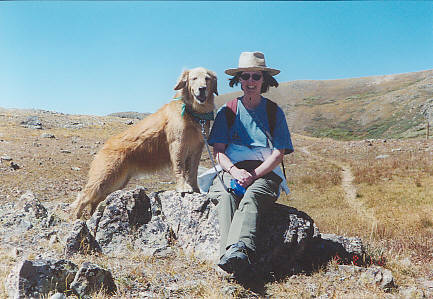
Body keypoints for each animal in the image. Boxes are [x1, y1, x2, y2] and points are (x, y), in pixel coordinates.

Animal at [72, 67, 218, 218]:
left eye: (207, 78)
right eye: (194, 78)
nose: (202, 89)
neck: (192, 112)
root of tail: (105, 146)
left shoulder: (197, 149)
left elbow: (193, 172)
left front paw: (196, 189)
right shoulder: (178, 145)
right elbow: (180, 169)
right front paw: (183, 187)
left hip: (117, 182)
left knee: (95, 201)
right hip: (105, 178)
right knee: (83, 197)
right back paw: (75, 218)